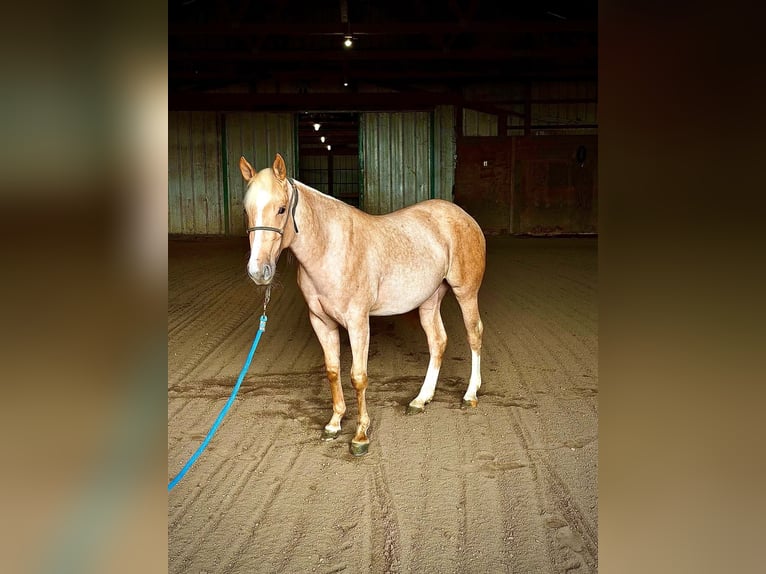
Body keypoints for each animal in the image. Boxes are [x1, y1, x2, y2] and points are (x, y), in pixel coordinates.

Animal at [239, 153, 485, 456]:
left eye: (281, 209)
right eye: (246, 210)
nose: (258, 271)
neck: (330, 248)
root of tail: (464, 216)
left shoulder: (358, 322)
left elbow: (358, 376)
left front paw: (360, 436)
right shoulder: (321, 322)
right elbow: (333, 371)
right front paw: (334, 424)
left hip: (466, 292)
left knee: (473, 334)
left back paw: (470, 394)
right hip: (430, 299)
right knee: (438, 341)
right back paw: (421, 399)